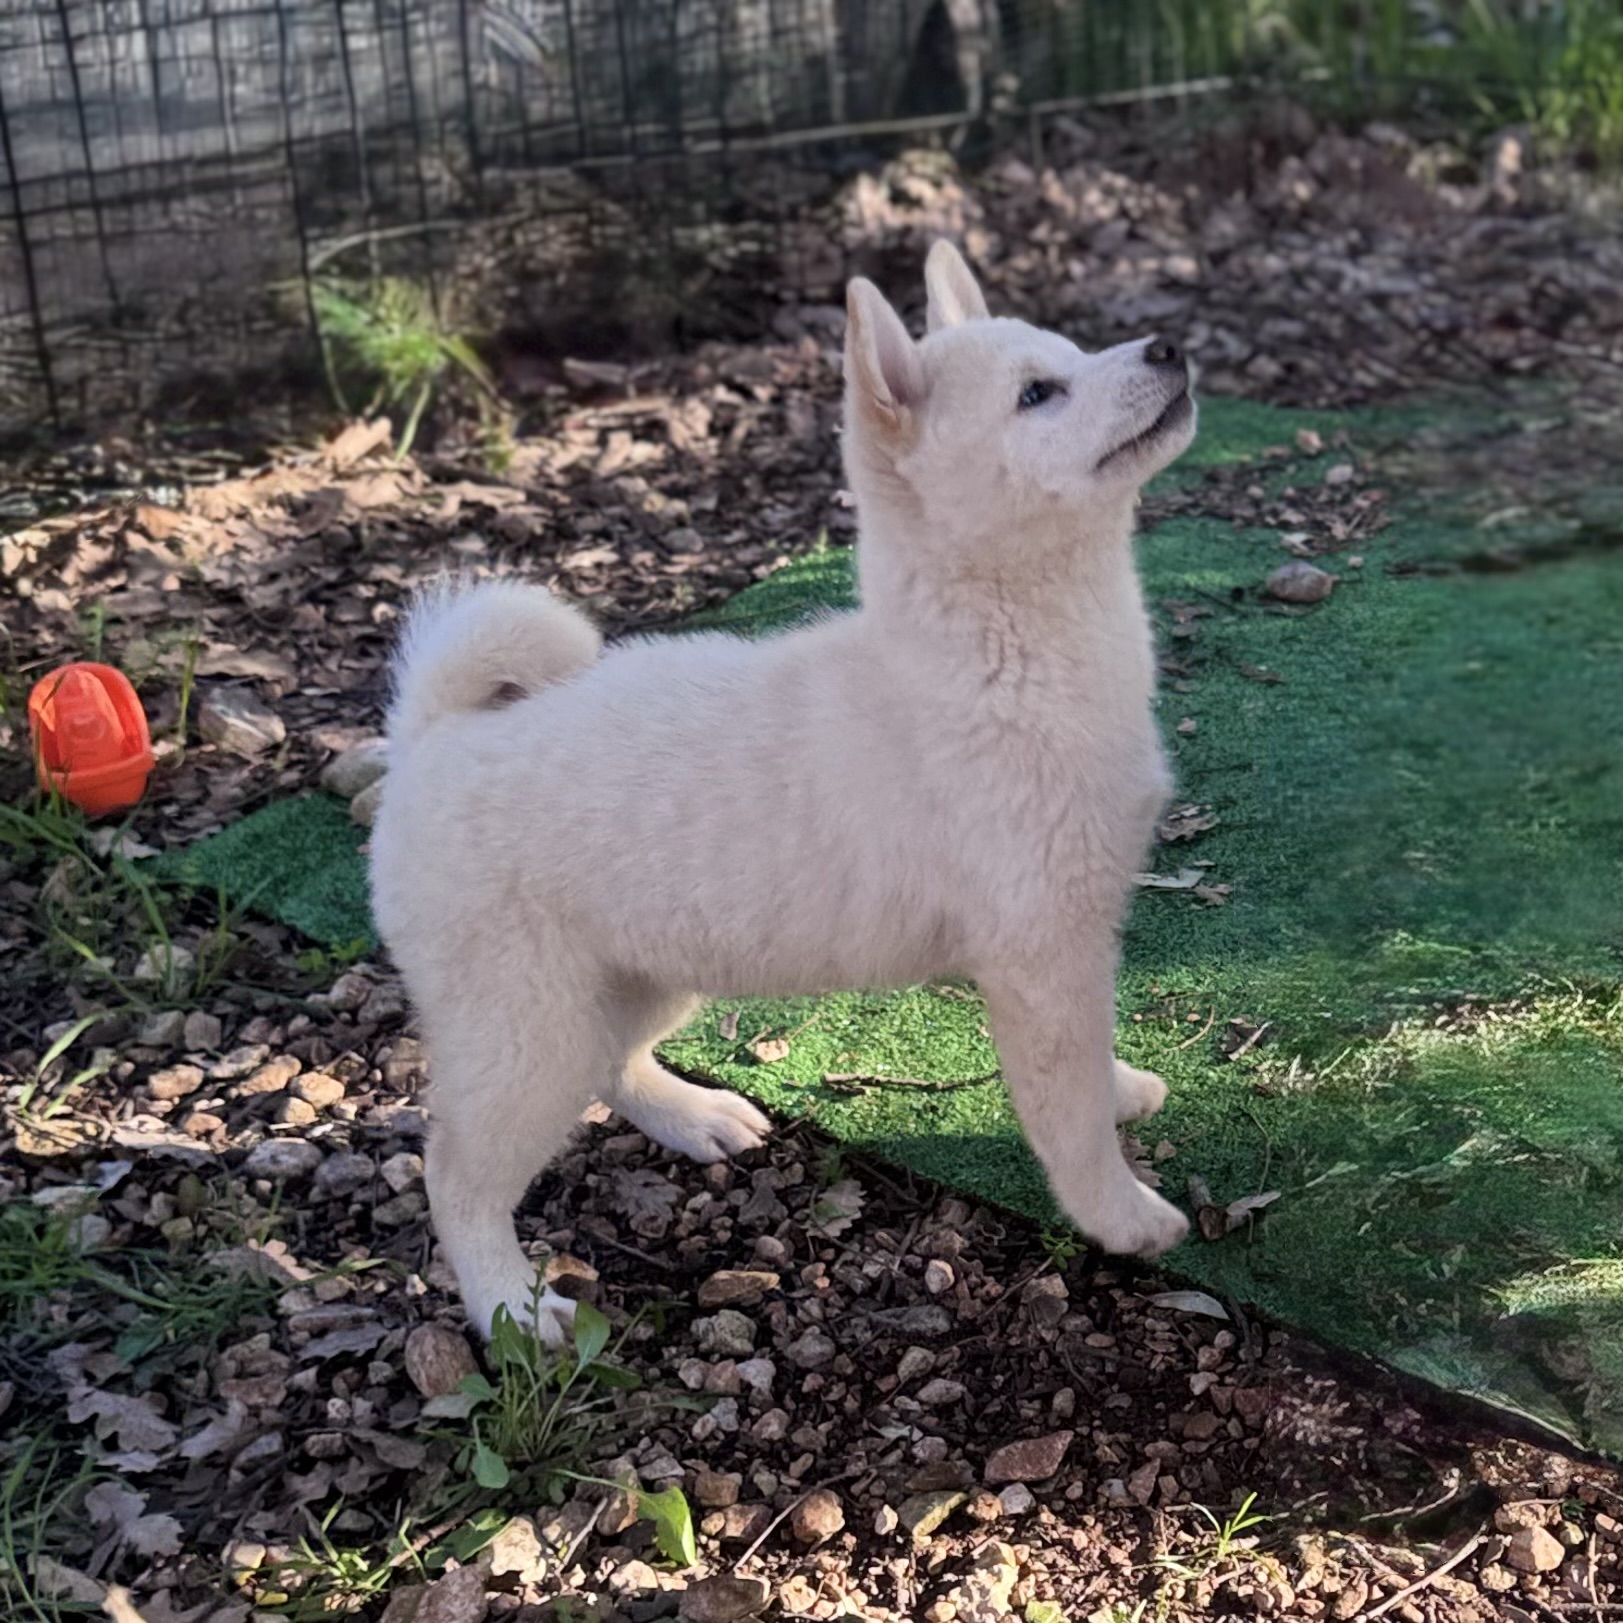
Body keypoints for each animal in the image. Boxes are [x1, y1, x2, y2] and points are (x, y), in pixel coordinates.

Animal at [369, 241, 1197, 1342]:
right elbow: (1066, 1119)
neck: (997, 664)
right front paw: (1123, 1215)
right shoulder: (1039, 960)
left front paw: (1121, 1091)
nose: (1171, 343)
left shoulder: (1078, 943)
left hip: (643, 973)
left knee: (612, 1067)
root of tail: (436, 735)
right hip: (526, 1031)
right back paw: (509, 1305)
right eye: (1037, 393)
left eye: (1069, 353)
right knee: (456, 1175)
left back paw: (696, 1118)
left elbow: (1094, 1067)